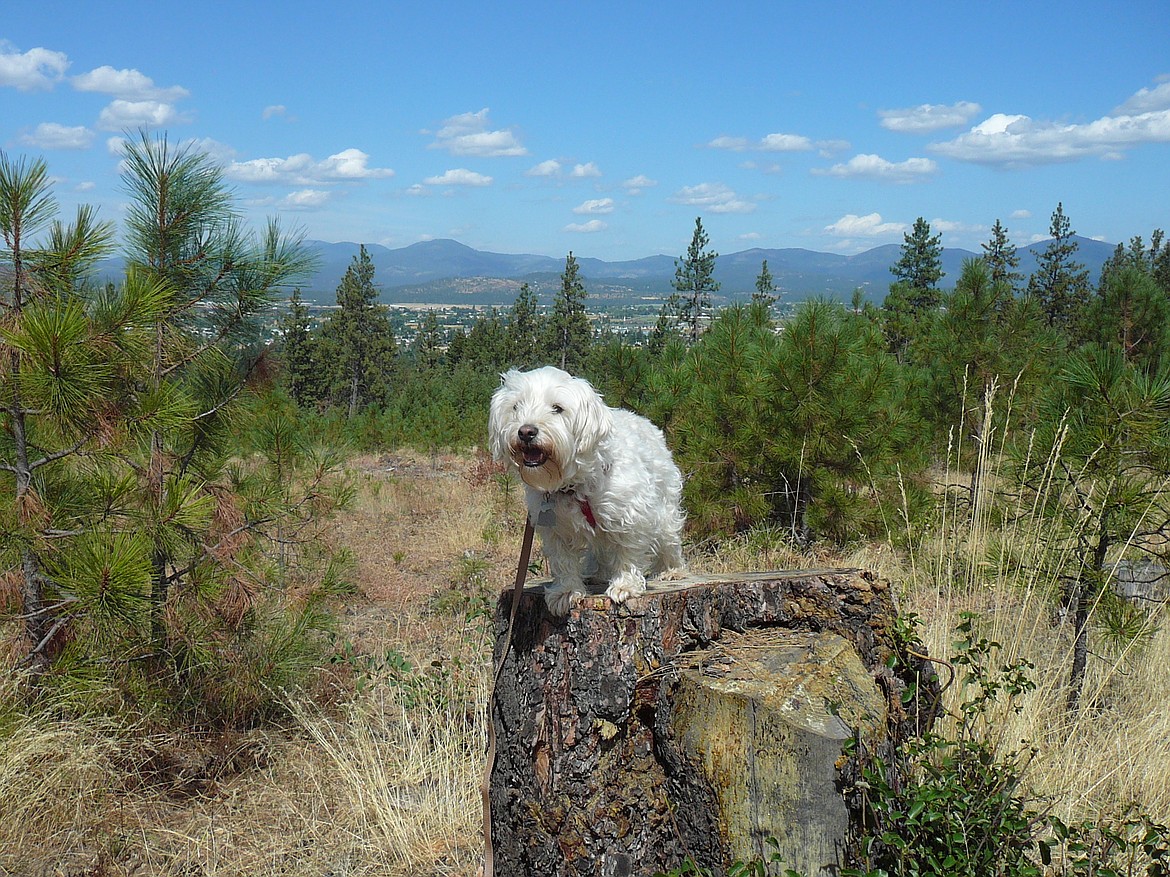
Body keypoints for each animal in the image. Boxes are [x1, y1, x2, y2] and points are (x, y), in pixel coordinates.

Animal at [486, 364, 683, 617]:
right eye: (516, 406)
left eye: (557, 408)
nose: (526, 432)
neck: (573, 485)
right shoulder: (555, 529)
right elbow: (564, 561)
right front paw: (566, 592)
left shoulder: (630, 516)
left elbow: (628, 552)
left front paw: (625, 585)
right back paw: (595, 573)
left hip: (665, 508)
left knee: (669, 539)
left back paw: (671, 570)